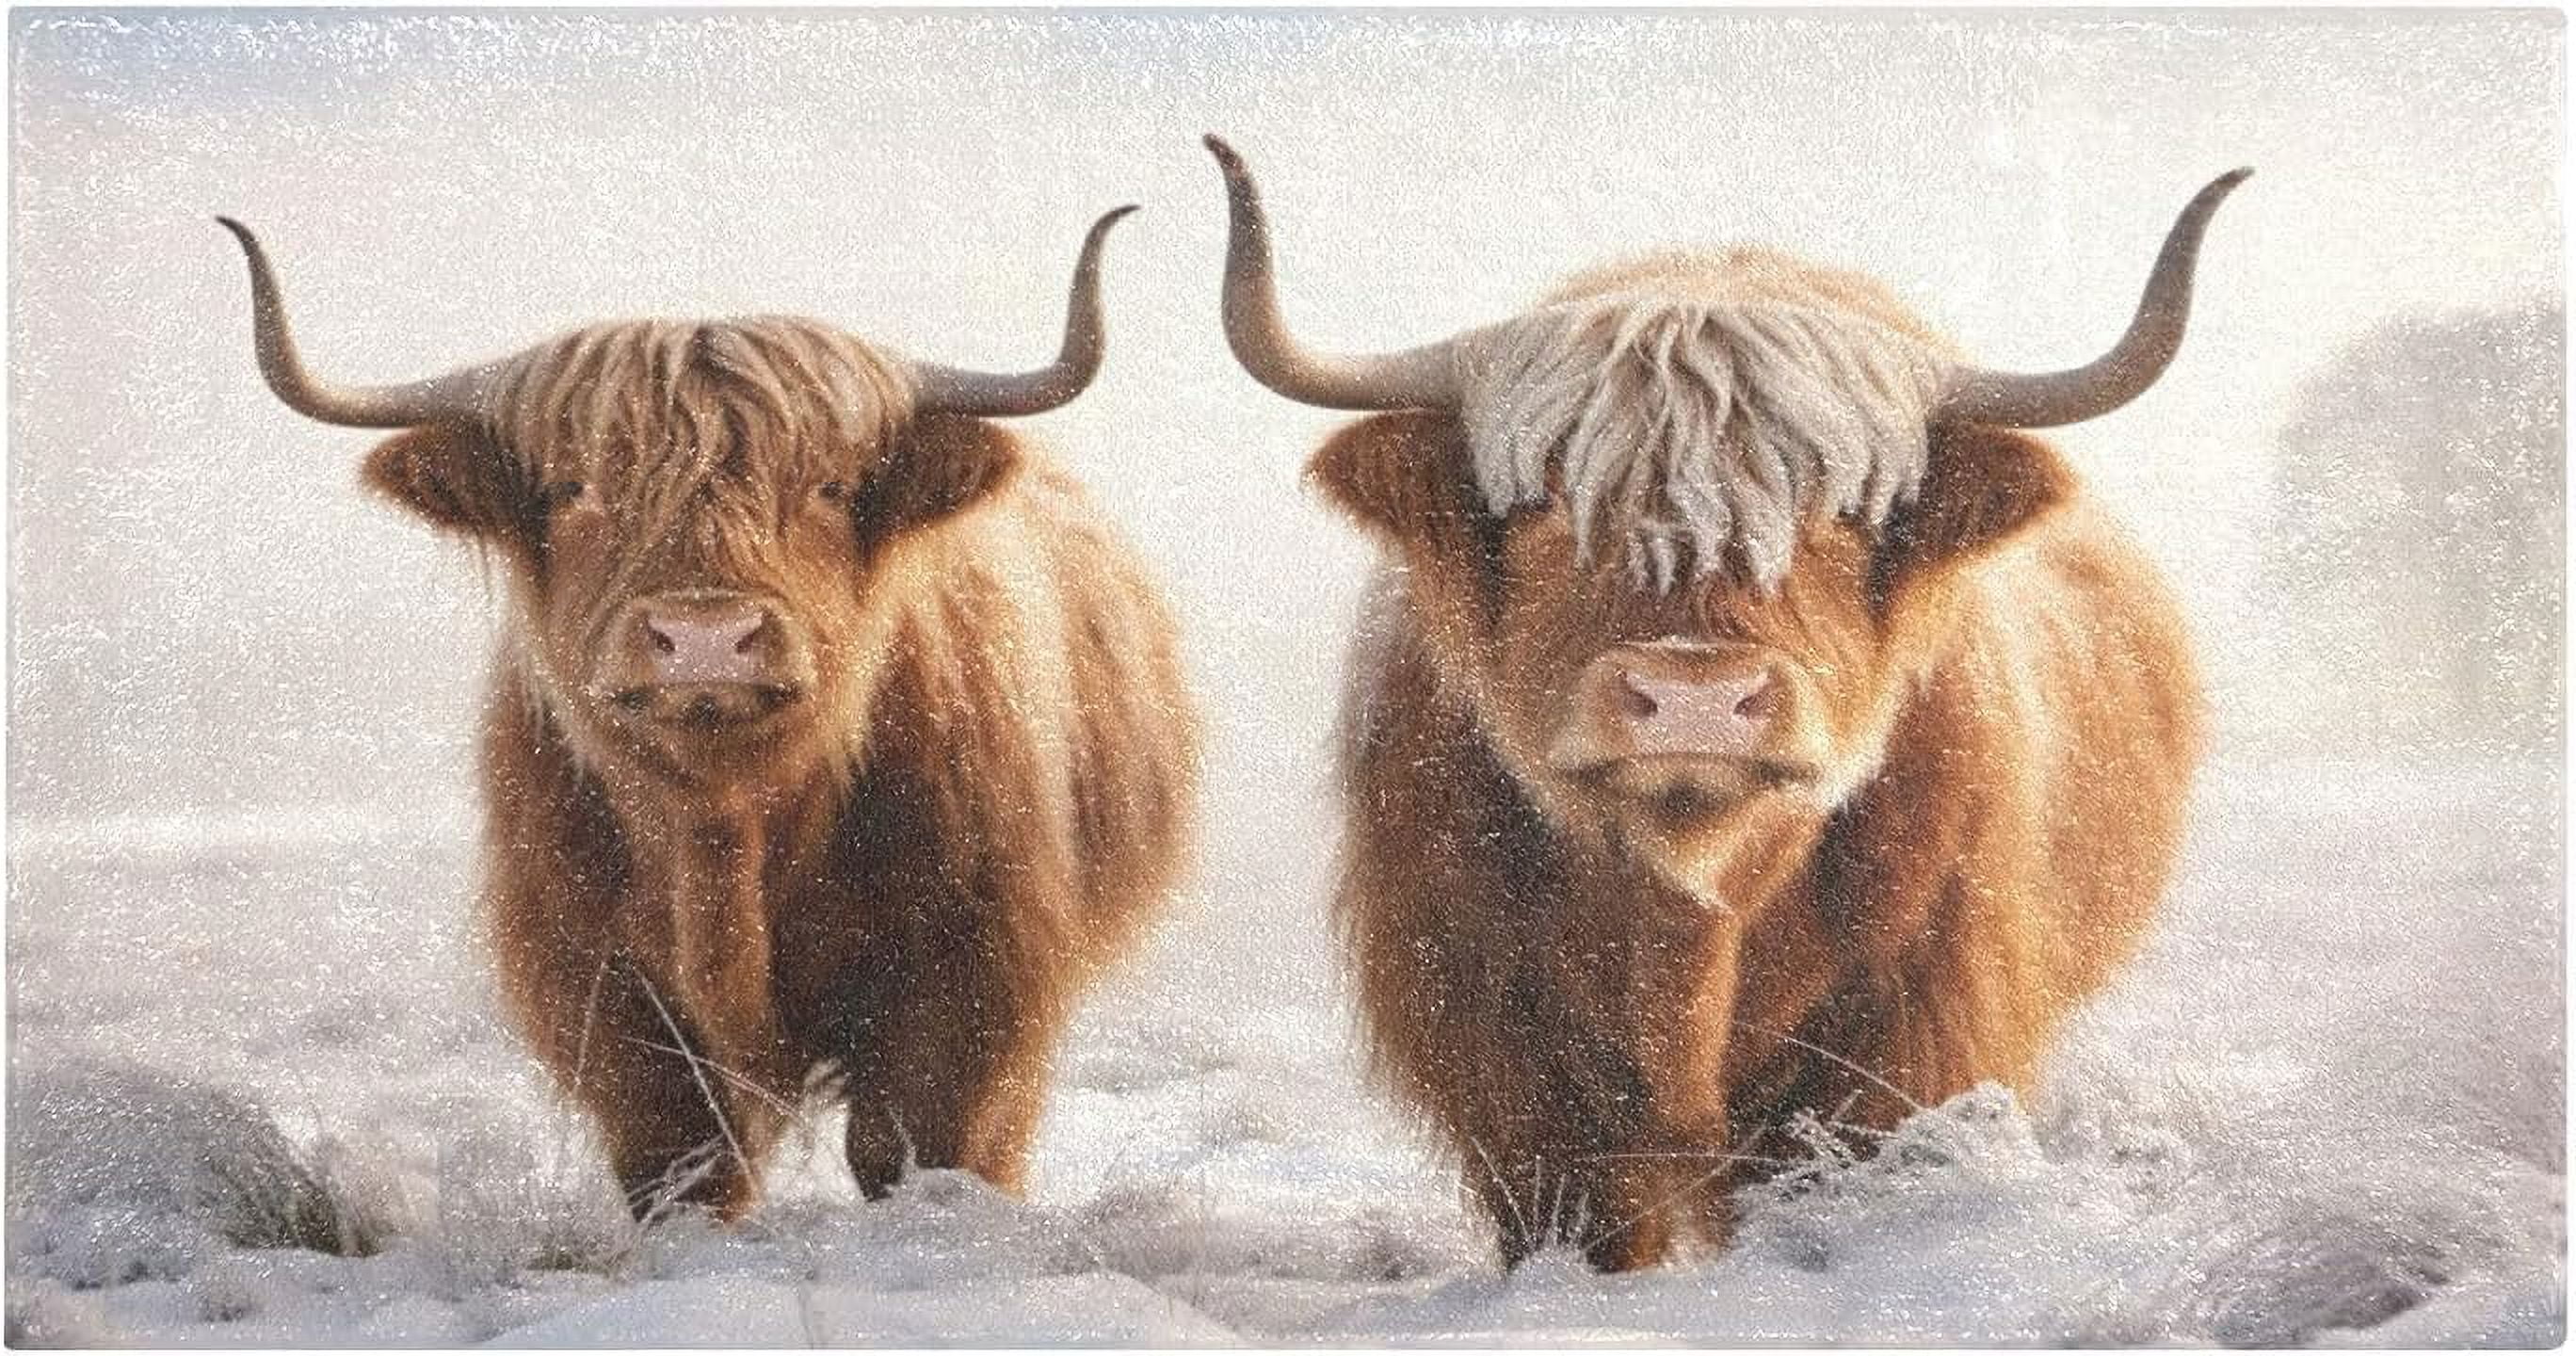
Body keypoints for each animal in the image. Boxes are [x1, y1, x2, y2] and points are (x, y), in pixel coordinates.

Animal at [220, 208, 1199, 1220]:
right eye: (574, 489)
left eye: (830, 488)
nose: (704, 636)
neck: (723, 827)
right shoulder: (598, 984)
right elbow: (682, 1154)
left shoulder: (973, 966)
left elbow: (918, 1142)